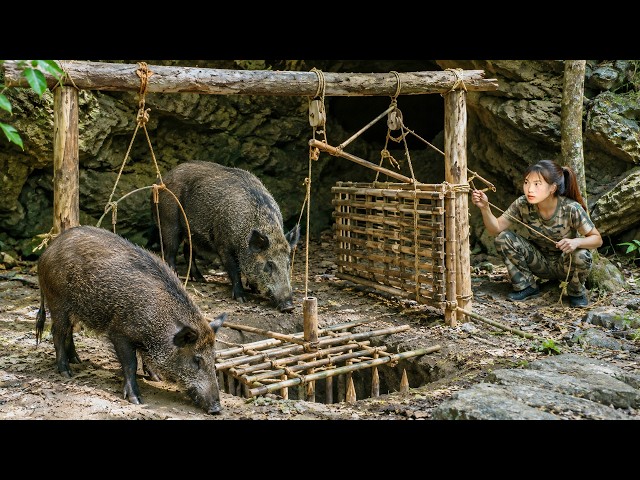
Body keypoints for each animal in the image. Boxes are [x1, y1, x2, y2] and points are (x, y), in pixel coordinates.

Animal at [35, 225, 227, 415]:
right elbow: (130, 364)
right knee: (57, 332)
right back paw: (66, 372)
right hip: (57, 301)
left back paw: (77, 360)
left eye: (213, 357)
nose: (217, 408)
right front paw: (136, 400)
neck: (158, 320)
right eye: (196, 359)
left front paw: (156, 378)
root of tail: (46, 252)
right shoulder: (119, 332)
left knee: (68, 332)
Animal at [152, 160, 300, 313]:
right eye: (269, 264)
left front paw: (254, 290)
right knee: (170, 252)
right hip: (168, 221)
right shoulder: (223, 245)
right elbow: (234, 270)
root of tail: (161, 180)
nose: (289, 306)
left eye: (288, 263)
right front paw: (242, 299)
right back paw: (177, 277)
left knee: (188, 252)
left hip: (192, 235)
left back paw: (202, 279)